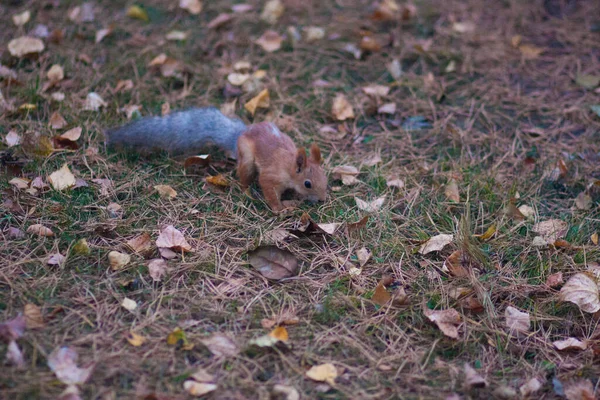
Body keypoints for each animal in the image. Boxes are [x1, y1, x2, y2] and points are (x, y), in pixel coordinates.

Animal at [105, 106, 326, 212]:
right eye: (307, 183)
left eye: (326, 178)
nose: (323, 199)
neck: (289, 166)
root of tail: (241, 133)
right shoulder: (272, 176)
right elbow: (269, 189)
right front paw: (279, 208)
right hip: (247, 159)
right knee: (243, 176)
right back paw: (247, 191)